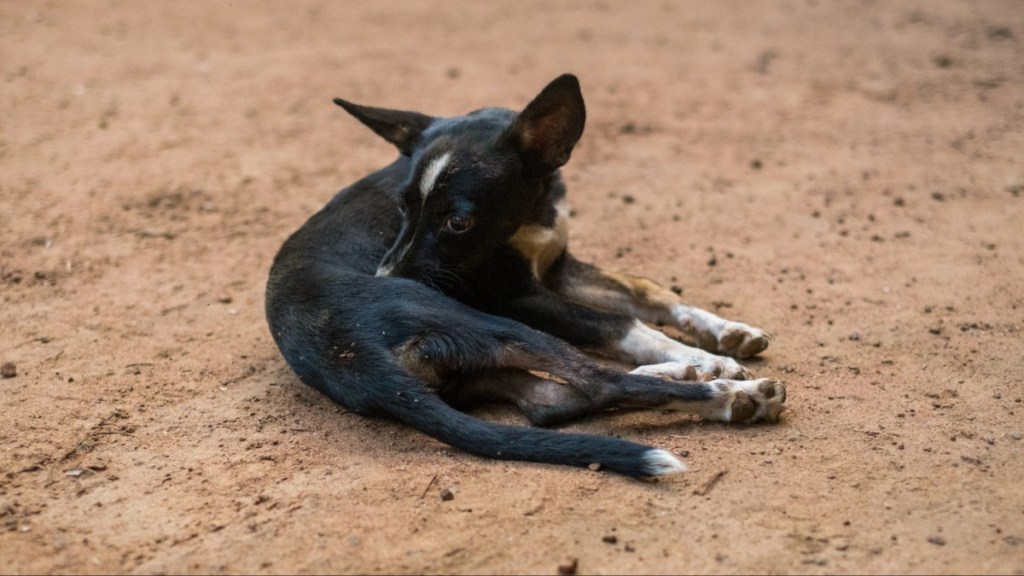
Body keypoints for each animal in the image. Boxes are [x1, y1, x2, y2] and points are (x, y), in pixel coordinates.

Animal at [264, 72, 782, 475]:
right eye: (402, 206)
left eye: (457, 222)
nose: (385, 275)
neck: (533, 212)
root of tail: (356, 362)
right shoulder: (517, 297)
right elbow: (620, 323)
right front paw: (706, 355)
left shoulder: (557, 270)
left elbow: (647, 291)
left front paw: (727, 330)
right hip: (488, 323)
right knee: (602, 380)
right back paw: (725, 388)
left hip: (475, 371)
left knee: (553, 402)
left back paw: (692, 377)